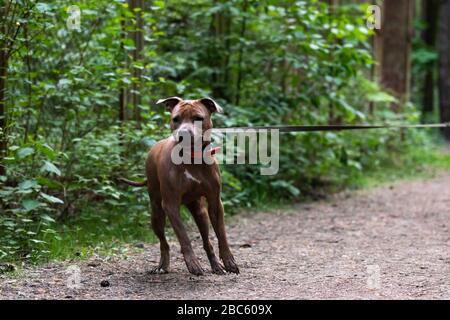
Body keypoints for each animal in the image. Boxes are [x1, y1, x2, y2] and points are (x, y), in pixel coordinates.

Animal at [119, 97, 239, 276]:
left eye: (198, 118)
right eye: (176, 119)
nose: (183, 134)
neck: (192, 158)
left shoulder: (215, 203)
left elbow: (222, 235)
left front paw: (228, 260)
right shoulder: (170, 205)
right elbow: (183, 236)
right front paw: (193, 263)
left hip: (200, 213)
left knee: (206, 241)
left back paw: (216, 265)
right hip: (156, 214)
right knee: (164, 243)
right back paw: (163, 265)